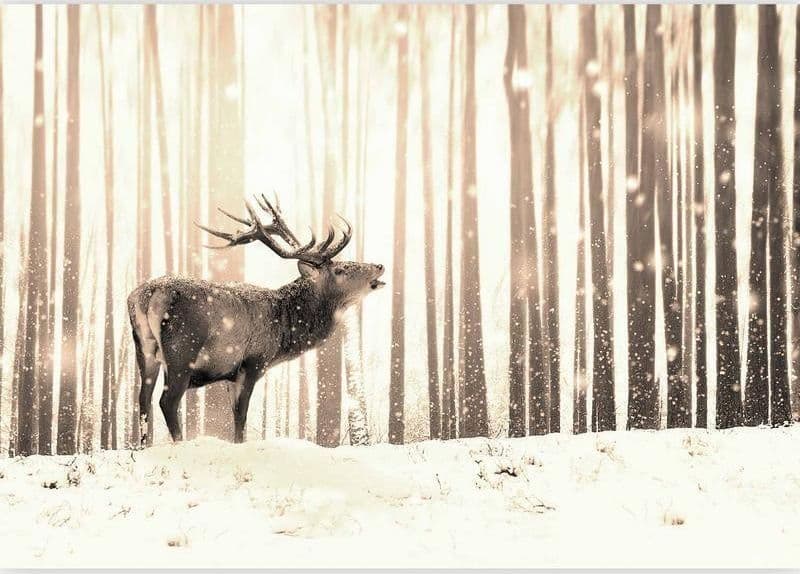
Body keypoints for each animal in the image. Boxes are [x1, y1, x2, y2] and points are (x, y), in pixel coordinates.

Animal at [127, 195, 385, 446]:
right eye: (340, 269)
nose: (379, 265)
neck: (284, 330)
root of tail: (147, 295)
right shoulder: (253, 361)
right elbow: (241, 416)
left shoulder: (229, 373)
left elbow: (234, 415)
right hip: (182, 349)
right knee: (167, 401)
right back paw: (179, 444)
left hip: (144, 349)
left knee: (143, 399)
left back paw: (143, 446)